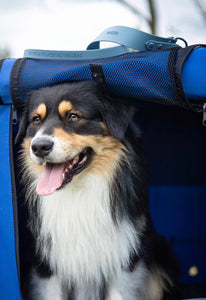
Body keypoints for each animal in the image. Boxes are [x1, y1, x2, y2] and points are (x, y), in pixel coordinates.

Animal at [16, 81, 180, 300]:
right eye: (36, 119)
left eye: (73, 116)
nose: (39, 147)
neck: (80, 190)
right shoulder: (47, 266)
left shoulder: (123, 259)